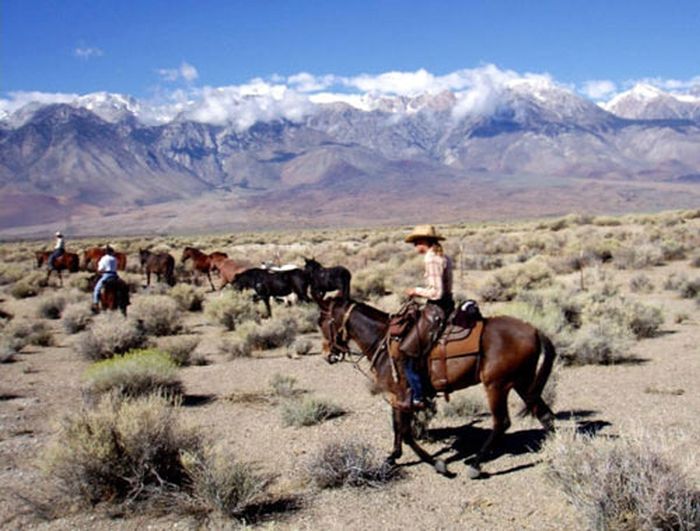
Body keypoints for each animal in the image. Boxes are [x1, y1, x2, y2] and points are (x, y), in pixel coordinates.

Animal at [318, 300, 556, 478]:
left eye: (321, 323)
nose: (327, 355)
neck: (383, 342)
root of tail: (535, 330)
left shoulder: (403, 398)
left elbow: (406, 433)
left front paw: (437, 464)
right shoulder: (396, 398)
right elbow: (398, 429)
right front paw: (392, 457)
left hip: (497, 385)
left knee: (502, 422)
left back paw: (475, 464)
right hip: (522, 382)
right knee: (545, 415)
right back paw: (557, 454)